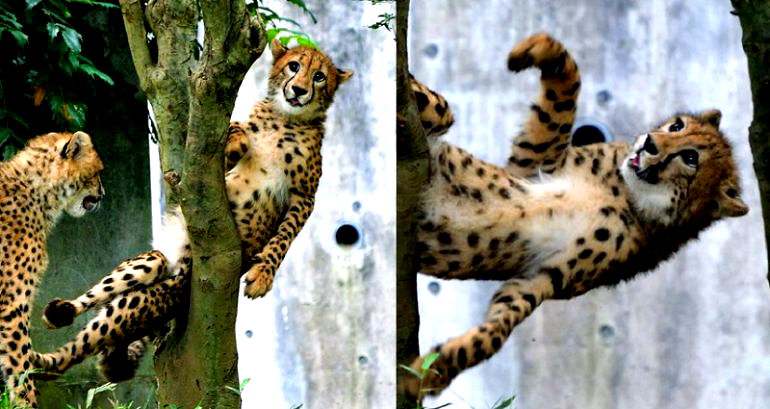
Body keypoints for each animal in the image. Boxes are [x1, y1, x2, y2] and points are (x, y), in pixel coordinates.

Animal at [32, 37, 352, 380]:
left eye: (319, 77)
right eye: (294, 66)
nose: (300, 90)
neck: (284, 118)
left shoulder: (304, 196)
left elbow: (284, 238)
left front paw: (263, 275)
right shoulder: (209, 180)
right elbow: (229, 144)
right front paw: (236, 137)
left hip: (162, 290)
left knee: (92, 342)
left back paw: (40, 359)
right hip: (149, 262)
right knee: (97, 306)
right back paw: (53, 323)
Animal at [402, 34, 744, 398]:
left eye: (691, 157)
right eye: (676, 125)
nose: (649, 143)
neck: (629, 196)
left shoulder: (544, 276)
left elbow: (497, 331)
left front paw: (432, 371)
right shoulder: (529, 166)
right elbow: (563, 97)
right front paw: (535, 49)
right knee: (441, 107)